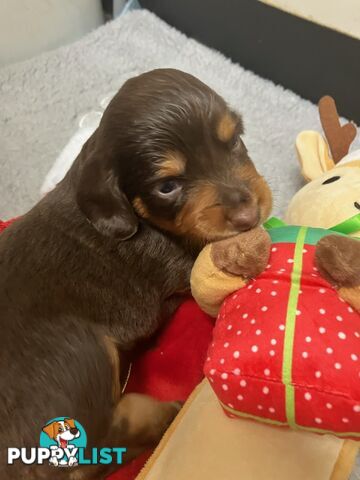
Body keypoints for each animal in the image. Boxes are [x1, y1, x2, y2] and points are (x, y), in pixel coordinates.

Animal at [0, 68, 272, 480]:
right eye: (167, 186)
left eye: (235, 140)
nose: (248, 216)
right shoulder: (178, 265)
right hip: (78, 346)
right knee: (96, 438)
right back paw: (163, 414)